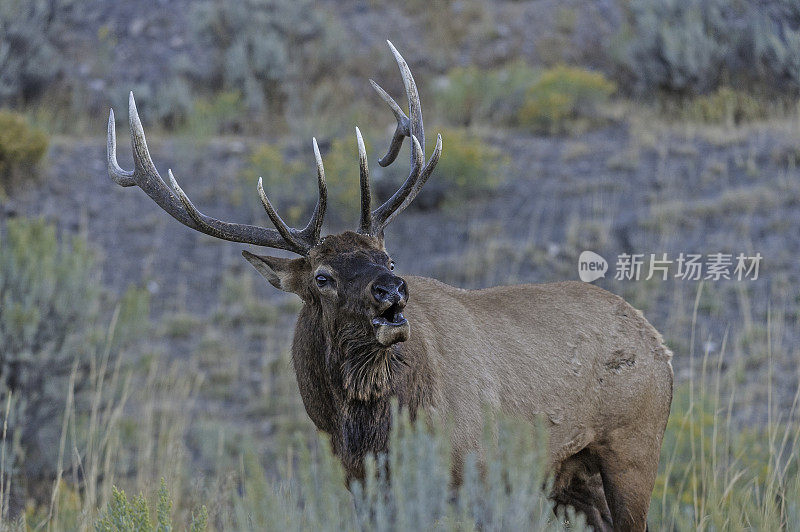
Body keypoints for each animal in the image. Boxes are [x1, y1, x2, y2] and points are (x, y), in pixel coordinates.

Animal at [103, 41, 672, 532]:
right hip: (570, 474)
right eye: (322, 277)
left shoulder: (479, 472)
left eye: (389, 256)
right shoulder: (363, 487)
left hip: (633, 447)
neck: (370, 432)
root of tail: (658, 343)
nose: (392, 291)